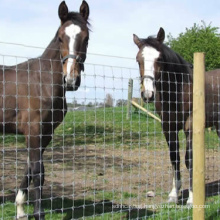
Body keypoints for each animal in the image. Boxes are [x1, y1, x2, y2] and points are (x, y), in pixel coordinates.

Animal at [0, 1, 89, 218]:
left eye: (86, 38)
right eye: (60, 37)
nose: (71, 80)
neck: (43, 82)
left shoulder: (46, 133)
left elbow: (30, 169)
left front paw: (21, 209)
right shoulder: (33, 131)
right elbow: (38, 172)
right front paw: (38, 213)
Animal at [133, 27, 220, 206]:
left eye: (159, 58)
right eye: (138, 60)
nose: (148, 94)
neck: (179, 90)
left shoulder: (190, 127)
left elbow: (190, 159)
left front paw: (192, 198)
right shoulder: (168, 127)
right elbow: (174, 158)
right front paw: (174, 194)